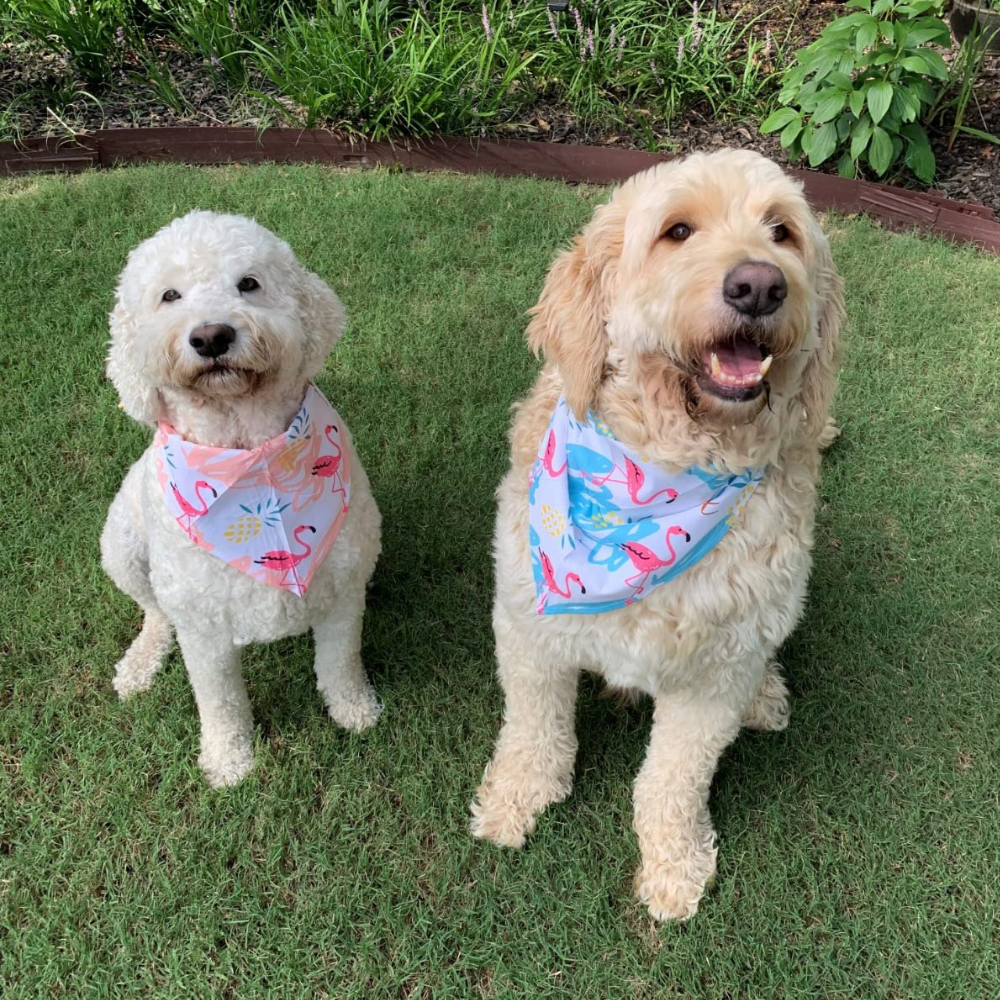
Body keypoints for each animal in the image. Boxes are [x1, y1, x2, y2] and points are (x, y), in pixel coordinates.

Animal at [102, 213, 382, 788]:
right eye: (169, 295)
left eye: (248, 283)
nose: (212, 336)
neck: (252, 463)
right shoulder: (203, 630)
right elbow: (220, 702)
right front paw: (229, 761)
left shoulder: (343, 592)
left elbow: (339, 662)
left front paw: (353, 709)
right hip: (122, 550)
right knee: (155, 612)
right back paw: (139, 664)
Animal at [468, 148, 844, 920]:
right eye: (677, 231)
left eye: (782, 232)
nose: (759, 285)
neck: (674, 462)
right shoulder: (529, 626)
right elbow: (533, 730)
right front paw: (517, 799)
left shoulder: (715, 676)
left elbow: (674, 779)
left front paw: (674, 865)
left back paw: (766, 697)